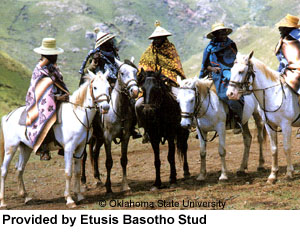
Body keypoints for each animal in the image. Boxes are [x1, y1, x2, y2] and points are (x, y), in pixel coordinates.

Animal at [0, 70, 110, 208]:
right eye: (95, 87)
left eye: (108, 87)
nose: (105, 107)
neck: (78, 115)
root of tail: (8, 116)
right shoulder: (69, 149)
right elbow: (68, 173)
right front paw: (69, 199)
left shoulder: (80, 149)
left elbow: (77, 172)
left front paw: (79, 196)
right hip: (11, 148)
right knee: (4, 171)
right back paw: (3, 202)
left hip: (25, 148)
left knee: (20, 169)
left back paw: (26, 197)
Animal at [227, 51, 300, 184]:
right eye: (231, 69)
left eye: (241, 71)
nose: (230, 94)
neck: (274, 94)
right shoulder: (270, 126)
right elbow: (274, 149)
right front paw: (273, 175)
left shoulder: (286, 125)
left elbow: (286, 148)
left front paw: (289, 173)